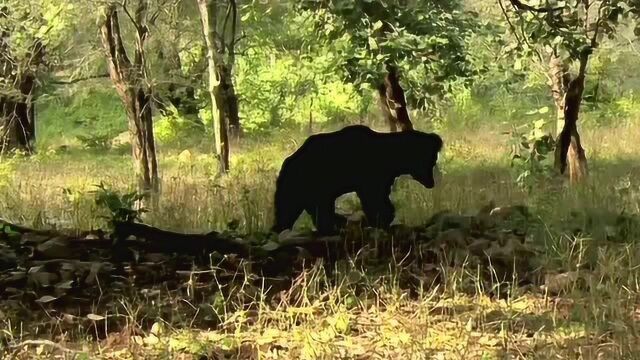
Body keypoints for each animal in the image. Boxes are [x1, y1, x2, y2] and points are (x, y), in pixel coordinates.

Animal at [272, 125, 444, 235]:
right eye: (431, 162)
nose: (432, 182)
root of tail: (286, 162)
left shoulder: (384, 177)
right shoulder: (369, 176)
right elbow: (374, 199)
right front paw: (382, 219)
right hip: (304, 181)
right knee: (292, 207)